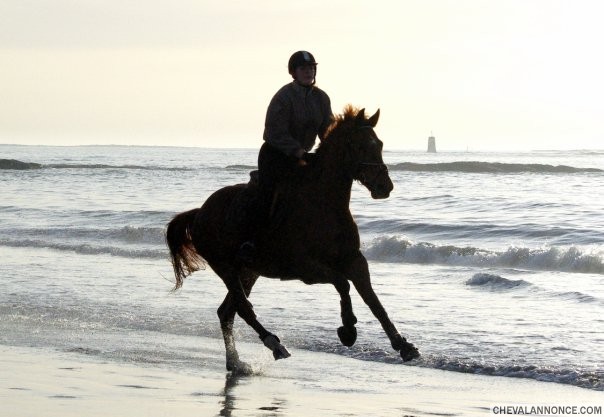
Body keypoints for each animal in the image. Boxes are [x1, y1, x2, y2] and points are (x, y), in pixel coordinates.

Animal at [165, 105, 420, 372]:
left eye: (379, 144)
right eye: (360, 146)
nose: (384, 186)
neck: (325, 205)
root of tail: (199, 213)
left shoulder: (355, 261)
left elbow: (373, 301)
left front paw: (403, 345)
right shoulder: (305, 268)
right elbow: (343, 284)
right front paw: (348, 329)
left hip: (248, 271)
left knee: (227, 311)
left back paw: (236, 361)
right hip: (225, 267)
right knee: (243, 308)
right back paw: (274, 345)